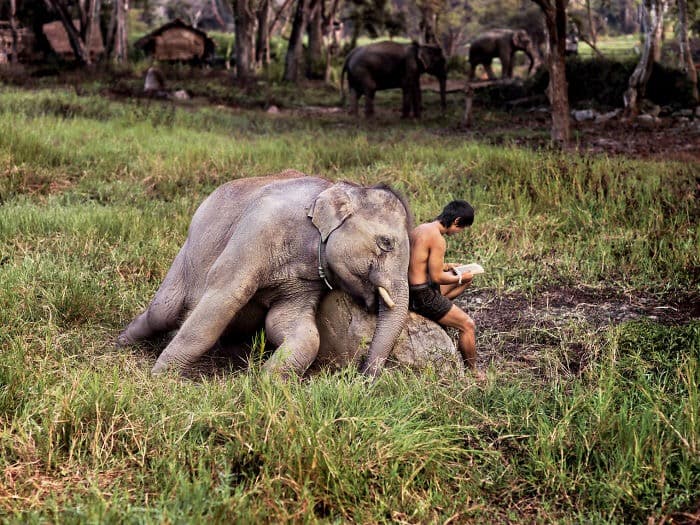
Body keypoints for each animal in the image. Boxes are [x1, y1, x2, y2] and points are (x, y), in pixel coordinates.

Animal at [117, 170, 412, 378]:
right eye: (386, 243)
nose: (363, 376)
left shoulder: (306, 280)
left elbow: (293, 326)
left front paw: (267, 380)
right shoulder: (260, 228)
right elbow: (224, 298)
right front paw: (161, 376)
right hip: (187, 254)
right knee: (163, 311)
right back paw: (123, 342)